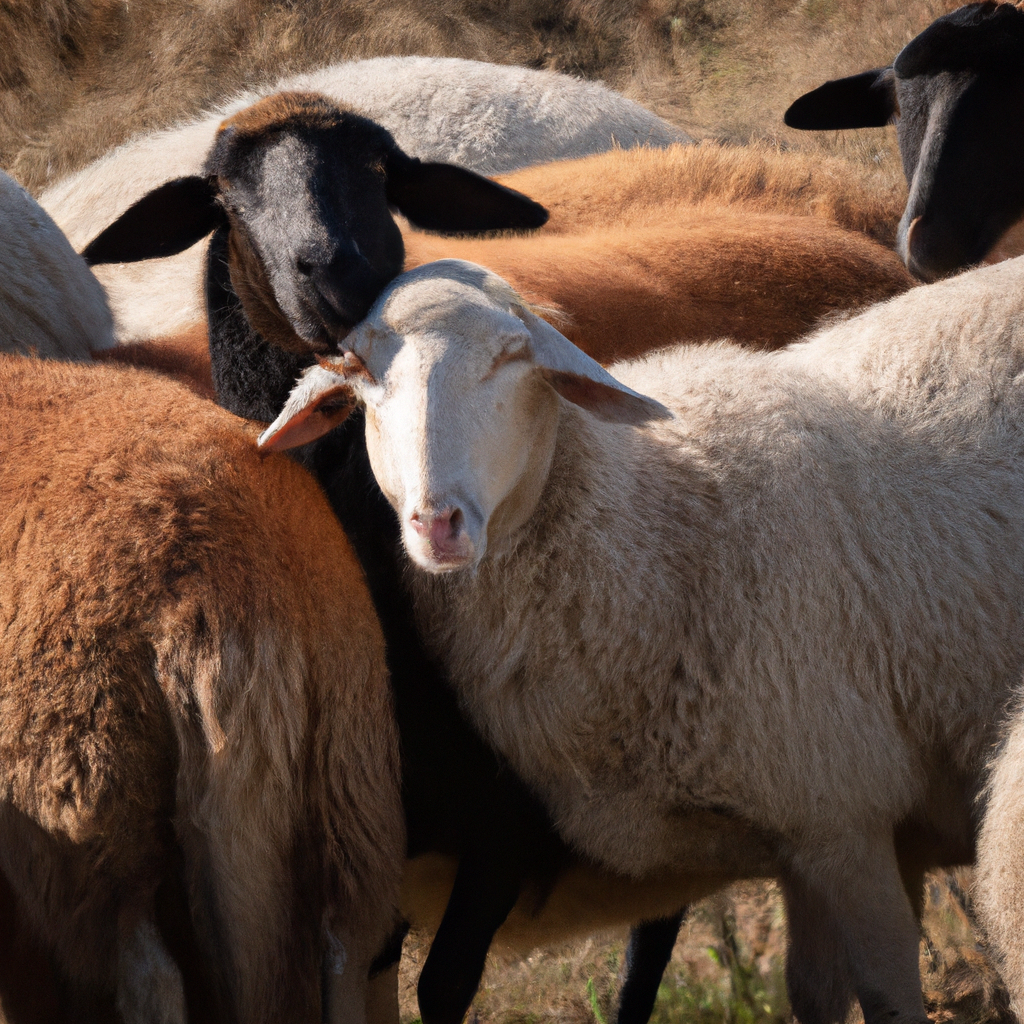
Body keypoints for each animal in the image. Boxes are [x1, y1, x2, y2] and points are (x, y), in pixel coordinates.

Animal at [262, 256, 1024, 1024]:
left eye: (513, 357)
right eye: (360, 368)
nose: (437, 523)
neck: (656, 520)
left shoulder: (844, 813)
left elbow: (889, 995)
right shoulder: (808, 835)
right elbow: (814, 995)